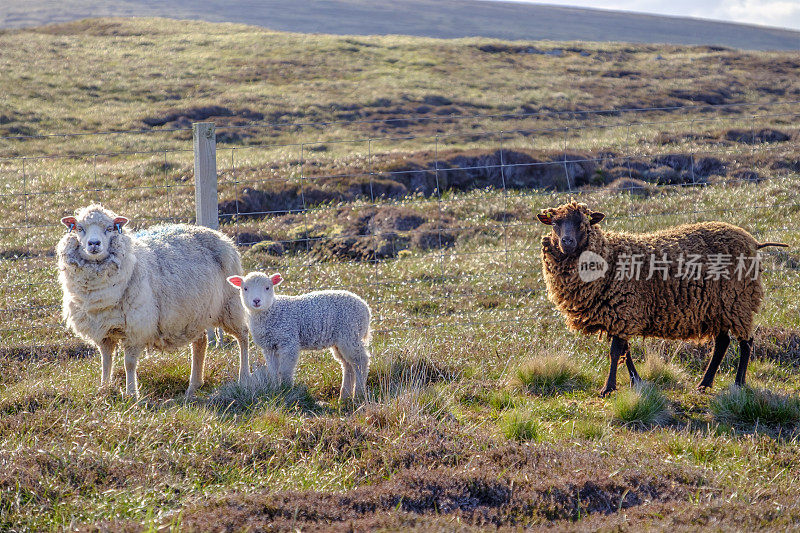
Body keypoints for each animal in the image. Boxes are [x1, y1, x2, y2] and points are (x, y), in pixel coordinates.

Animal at [57, 203, 250, 394]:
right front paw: (104, 388)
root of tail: (220, 235)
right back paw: (193, 386)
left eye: (109, 228)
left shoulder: (137, 328)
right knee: (200, 342)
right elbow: (106, 360)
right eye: (80, 228)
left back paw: (244, 377)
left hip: (230, 304)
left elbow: (129, 363)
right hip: (196, 314)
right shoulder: (103, 330)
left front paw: (131, 393)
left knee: (243, 335)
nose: (94, 244)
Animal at [228, 270, 372, 400]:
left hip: (350, 332)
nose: (256, 301)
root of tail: (366, 308)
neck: (272, 311)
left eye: (267, 287)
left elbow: (285, 370)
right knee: (348, 365)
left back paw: (358, 394)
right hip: (341, 339)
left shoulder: (289, 340)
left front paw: (286, 389)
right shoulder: (269, 347)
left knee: (360, 361)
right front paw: (275, 390)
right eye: (245, 288)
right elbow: (273, 371)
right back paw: (344, 396)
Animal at [536, 200, 788, 394]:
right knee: (722, 343)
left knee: (746, 342)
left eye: (583, 223)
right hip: (719, 306)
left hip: (738, 301)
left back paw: (738, 383)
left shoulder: (623, 310)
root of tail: (753, 241)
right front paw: (636, 381)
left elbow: (615, 352)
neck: (610, 256)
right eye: (555, 223)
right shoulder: (620, 315)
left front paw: (608, 388)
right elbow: (625, 352)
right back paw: (704, 384)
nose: (567, 242)